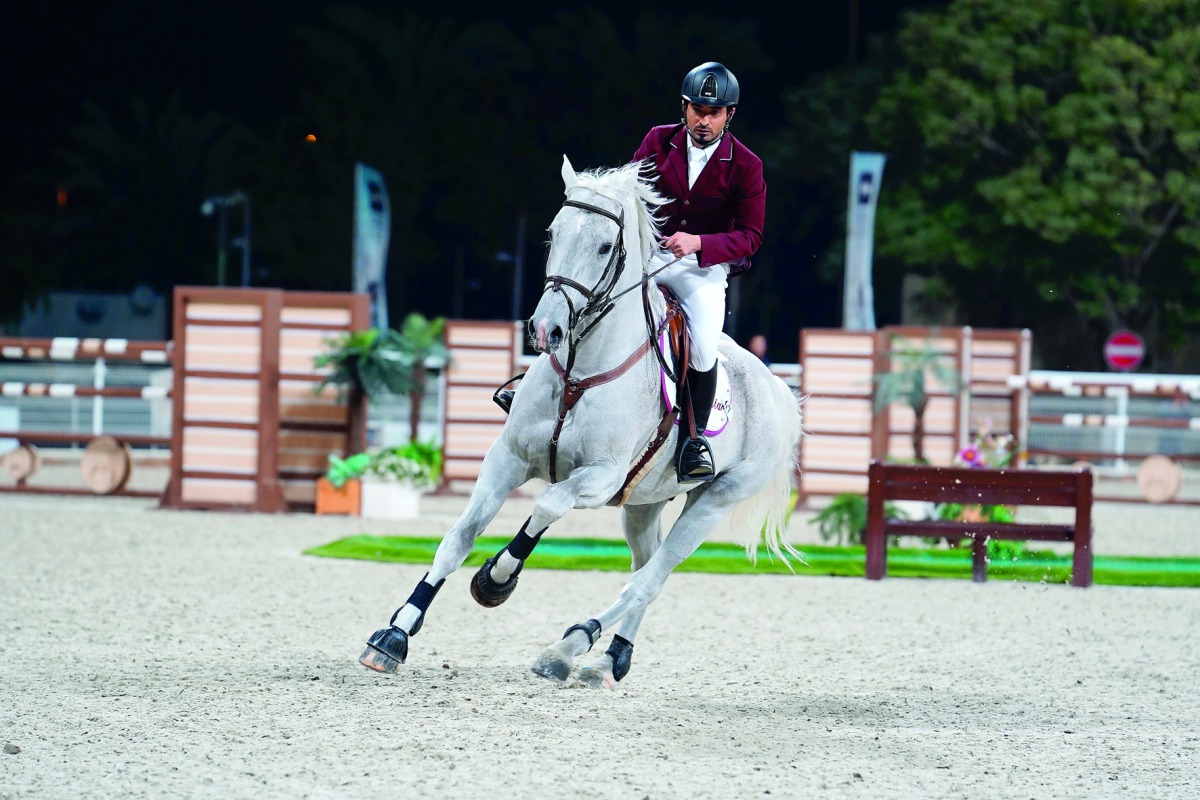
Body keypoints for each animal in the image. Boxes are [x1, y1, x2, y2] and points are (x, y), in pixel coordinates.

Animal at [357, 154, 806, 690]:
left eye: (605, 246)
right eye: (552, 234)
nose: (545, 328)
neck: (581, 369)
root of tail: (778, 390)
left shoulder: (599, 477)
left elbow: (547, 505)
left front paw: (496, 578)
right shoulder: (507, 458)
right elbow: (457, 539)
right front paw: (394, 634)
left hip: (713, 501)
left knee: (647, 580)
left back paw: (568, 647)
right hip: (643, 504)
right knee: (644, 568)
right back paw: (609, 659)